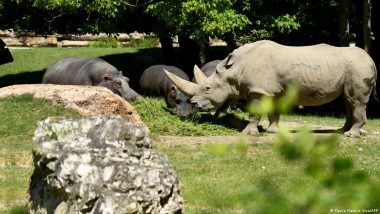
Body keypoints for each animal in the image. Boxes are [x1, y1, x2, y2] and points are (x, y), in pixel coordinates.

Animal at [165, 39, 378, 137]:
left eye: (208, 88)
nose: (194, 104)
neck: (235, 70)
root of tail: (371, 59)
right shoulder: (269, 90)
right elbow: (272, 112)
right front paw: (272, 131)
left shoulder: (258, 90)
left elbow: (255, 112)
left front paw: (248, 133)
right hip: (352, 69)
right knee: (348, 99)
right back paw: (341, 131)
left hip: (358, 68)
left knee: (356, 100)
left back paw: (351, 135)